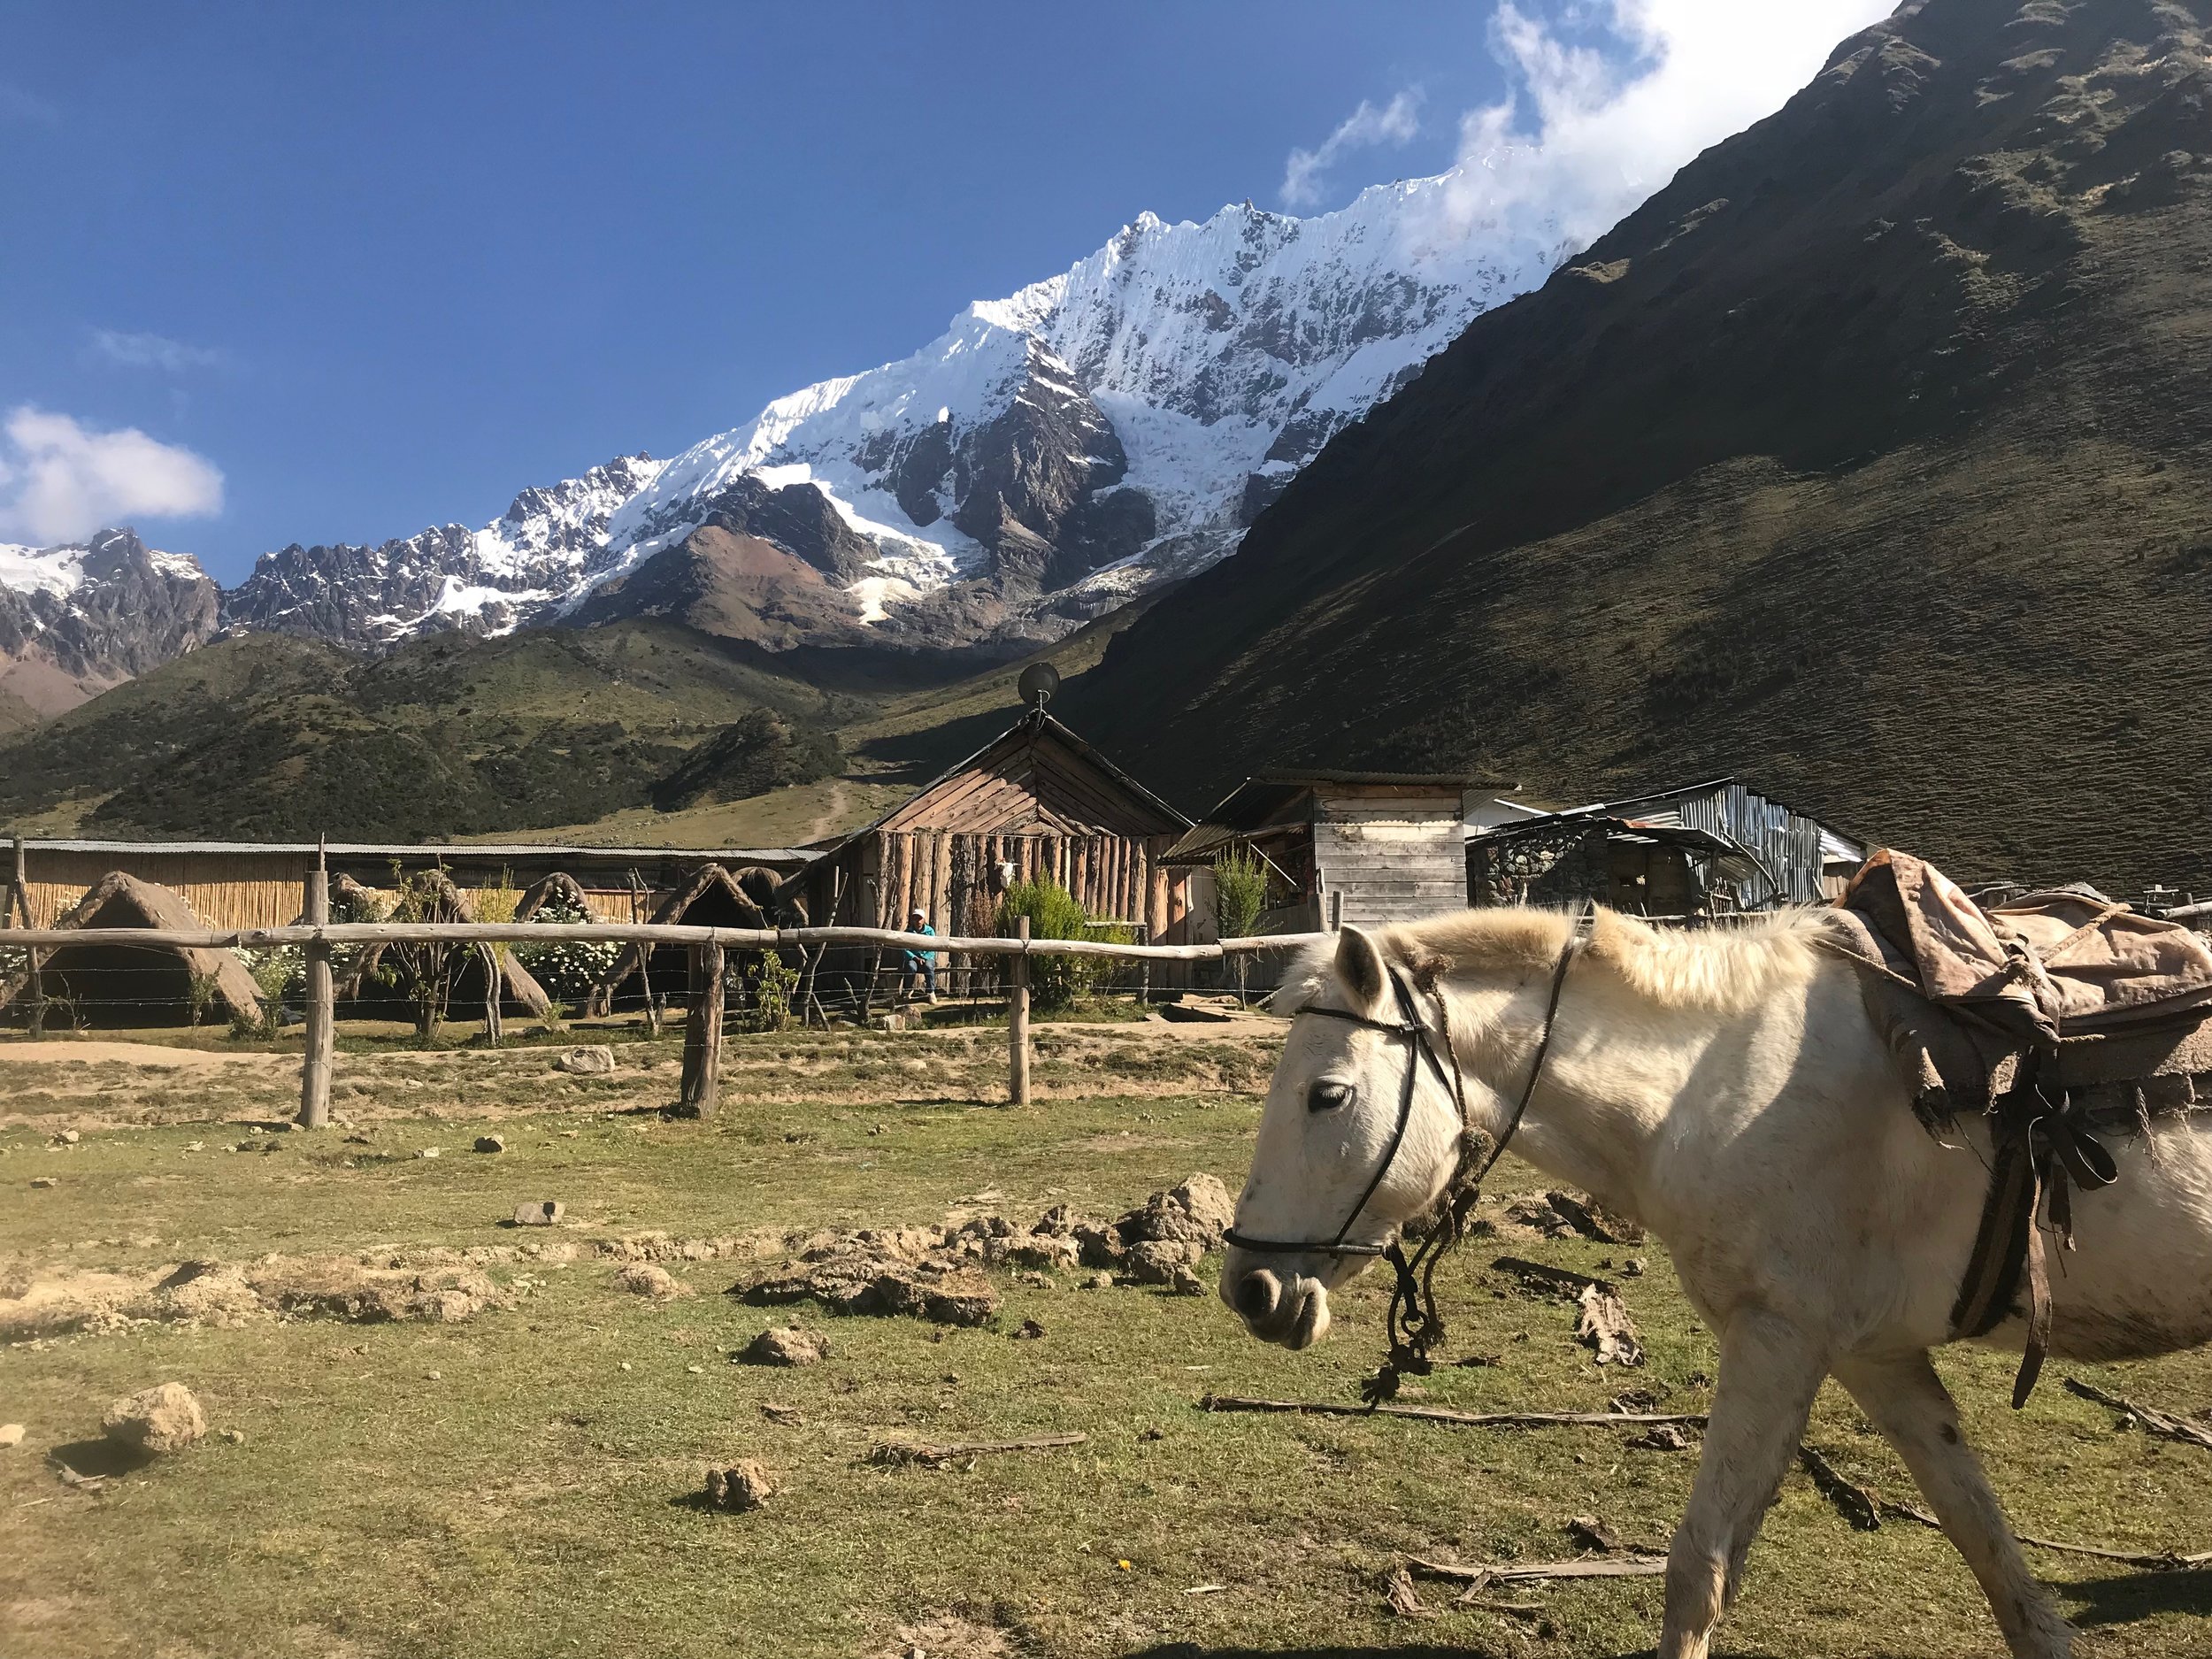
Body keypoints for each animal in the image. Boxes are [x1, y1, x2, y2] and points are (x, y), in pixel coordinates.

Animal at [1221, 916, 2212, 1655]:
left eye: (1326, 1094)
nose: (1249, 1289)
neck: (1711, 1084)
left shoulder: (1776, 1338)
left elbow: (1698, 1565)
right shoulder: (1875, 1357)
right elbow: (1983, 1539)